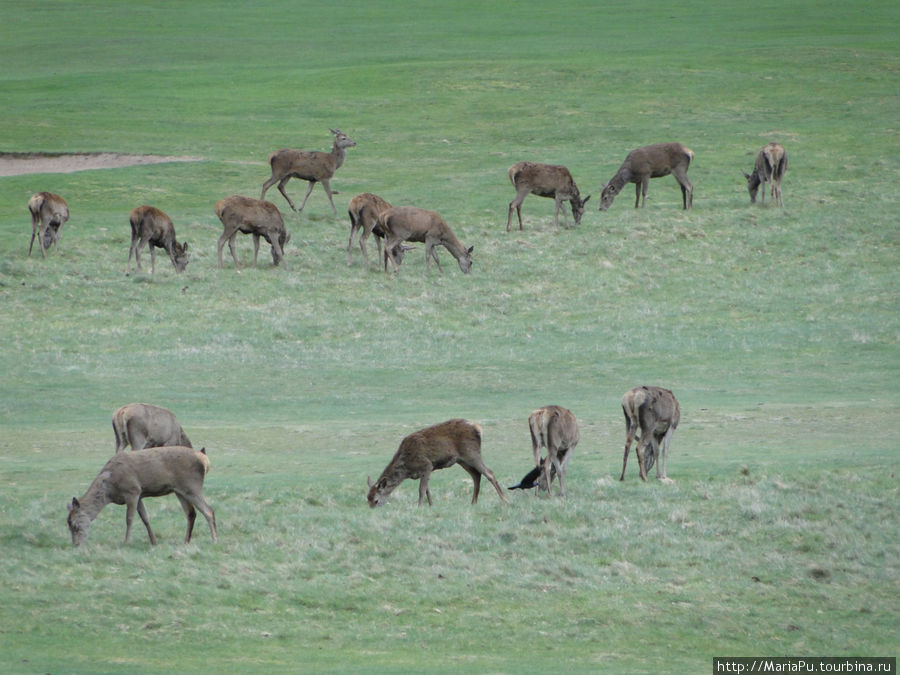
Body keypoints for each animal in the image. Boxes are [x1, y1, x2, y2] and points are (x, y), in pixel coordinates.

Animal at [67, 446, 218, 548]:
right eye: (68, 525)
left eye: (75, 525)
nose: (76, 545)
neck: (110, 490)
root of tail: (205, 460)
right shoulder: (139, 494)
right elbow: (145, 517)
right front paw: (153, 541)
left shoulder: (132, 490)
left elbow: (129, 518)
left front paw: (126, 541)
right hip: (179, 490)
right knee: (191, 513)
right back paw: (186, 541)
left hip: (192, 485)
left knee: (209, 510)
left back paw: (214, 540)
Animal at [366, 420, 506, 510]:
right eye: (368, 499)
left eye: (376, 500)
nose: (372, 510)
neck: (406, 467)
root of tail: (478, 428)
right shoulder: (425, 471)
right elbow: (427, 489)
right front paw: (431, 505)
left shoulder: (426, 465)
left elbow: (421, 489)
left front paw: (419, 507)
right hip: (462, 460)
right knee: (476, 475)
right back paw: (473, 503)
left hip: (471, 453)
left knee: (489, 473)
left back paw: (505, 500)